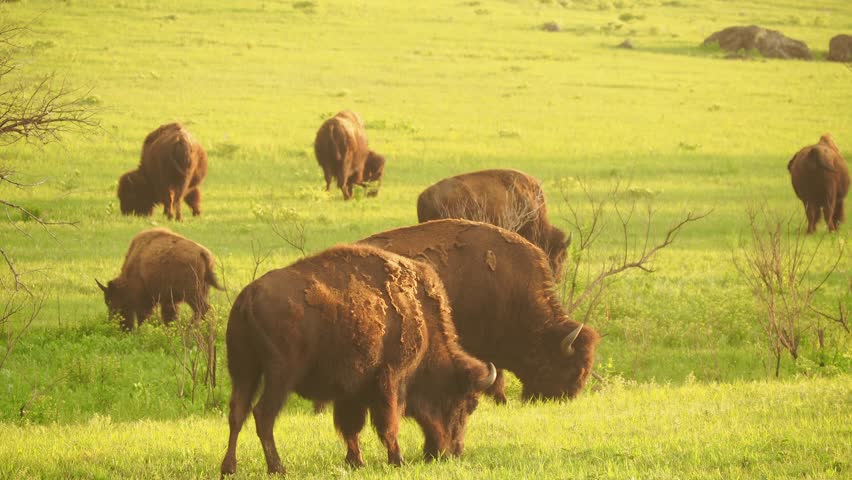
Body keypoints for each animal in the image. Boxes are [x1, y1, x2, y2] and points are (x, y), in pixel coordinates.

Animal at [220, 244, 496, 476]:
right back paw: (277, 468)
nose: (452, 452)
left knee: (237, 413)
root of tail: (248, 296)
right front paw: (397, 460)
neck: (423, 321)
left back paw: (229, 468)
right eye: (466, 404)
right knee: (263, 414)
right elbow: (389, 422)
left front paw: (356, 461)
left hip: (243, 372)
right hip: (279, 377)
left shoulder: (352, 390)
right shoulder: (391, 379)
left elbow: (351, 426)